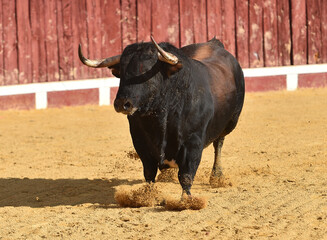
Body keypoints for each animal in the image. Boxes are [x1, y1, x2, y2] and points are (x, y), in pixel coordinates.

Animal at [78, 36, 245, 196]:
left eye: (146, 71)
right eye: (122, 72)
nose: (122, 103)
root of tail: (214, 44)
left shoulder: (193, 143)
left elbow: (186, 175)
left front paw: (187, 200)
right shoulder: (140, 142)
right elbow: (149, 174)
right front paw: (147, 195)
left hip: (231, 122)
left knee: (219, 143)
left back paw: (217, 176)